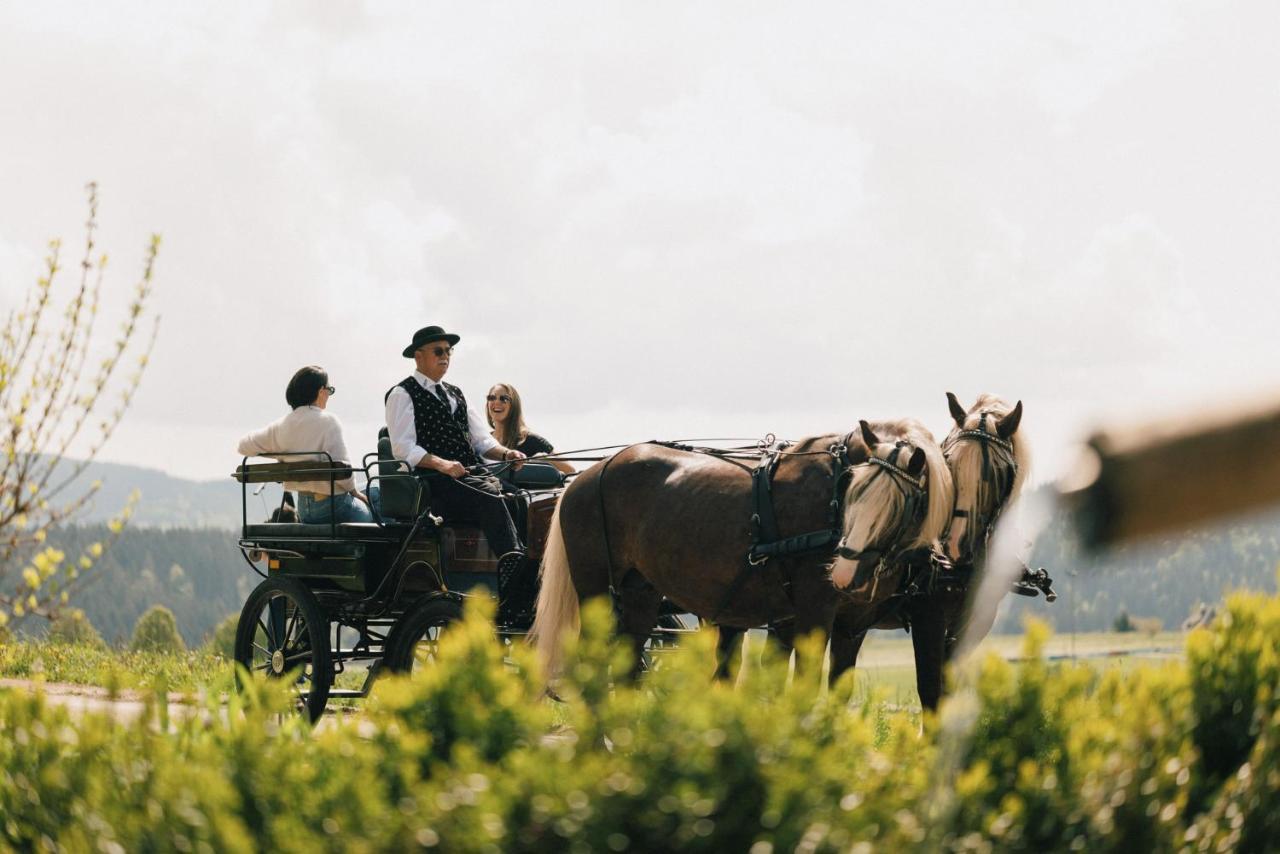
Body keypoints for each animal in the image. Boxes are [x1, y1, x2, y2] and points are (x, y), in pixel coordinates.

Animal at [524, 417, 957, 676]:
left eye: (902, 504)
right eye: (855, 493)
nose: (845, 573)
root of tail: (587, 477)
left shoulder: (848, 622)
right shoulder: (814, 610)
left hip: (639, 592)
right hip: (596, 589)